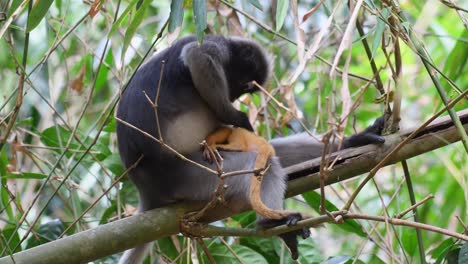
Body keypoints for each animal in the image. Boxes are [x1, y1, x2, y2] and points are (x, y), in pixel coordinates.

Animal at [116, 34, 384, 262]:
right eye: (245, 86)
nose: (234, 98)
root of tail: (147, 189)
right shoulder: (212, 45)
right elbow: (196, 54)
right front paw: (237, 116)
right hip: (190, 175)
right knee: (262, 164)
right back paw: (270, 223)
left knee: (271, 153)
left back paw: (349, 143)